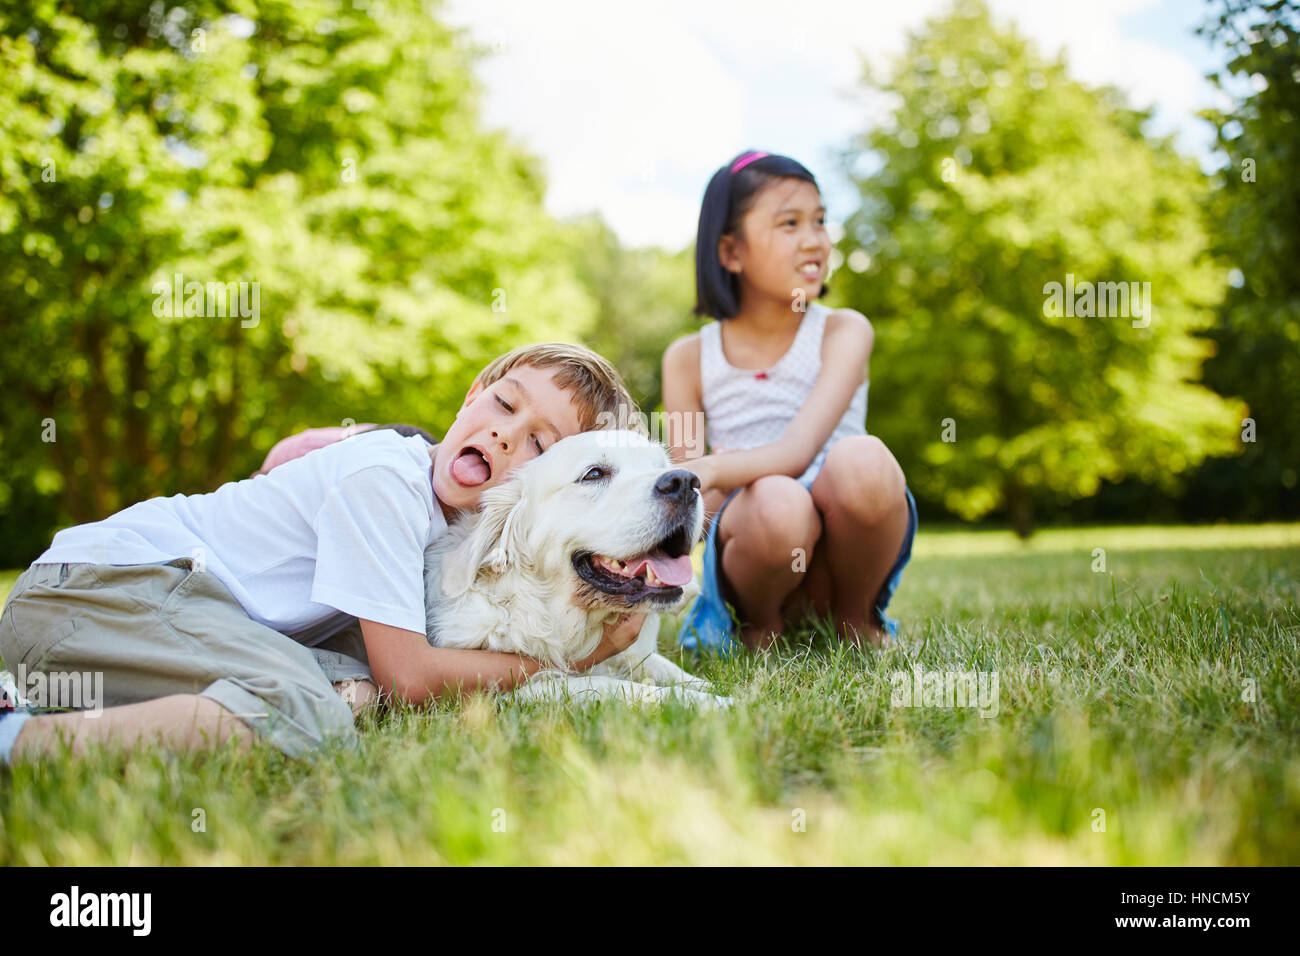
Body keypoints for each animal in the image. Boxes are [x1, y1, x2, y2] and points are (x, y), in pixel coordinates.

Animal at [426, 429, 733, 707]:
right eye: (594, 474)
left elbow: (669, 668)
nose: (685, 482)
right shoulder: (513, 688)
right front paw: (720, 703)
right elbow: (620, 687)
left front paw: (729, 690)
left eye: (660, 467)